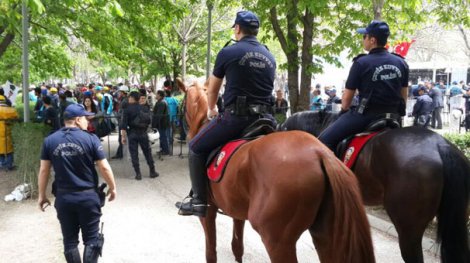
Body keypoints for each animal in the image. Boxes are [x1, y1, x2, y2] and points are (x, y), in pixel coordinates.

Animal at [178, 80, 376, 263]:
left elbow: (211, 252)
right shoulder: (237, 211)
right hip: (326, 236)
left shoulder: (208, 211)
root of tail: (320, 153)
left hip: (276, 240)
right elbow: (237, 247)